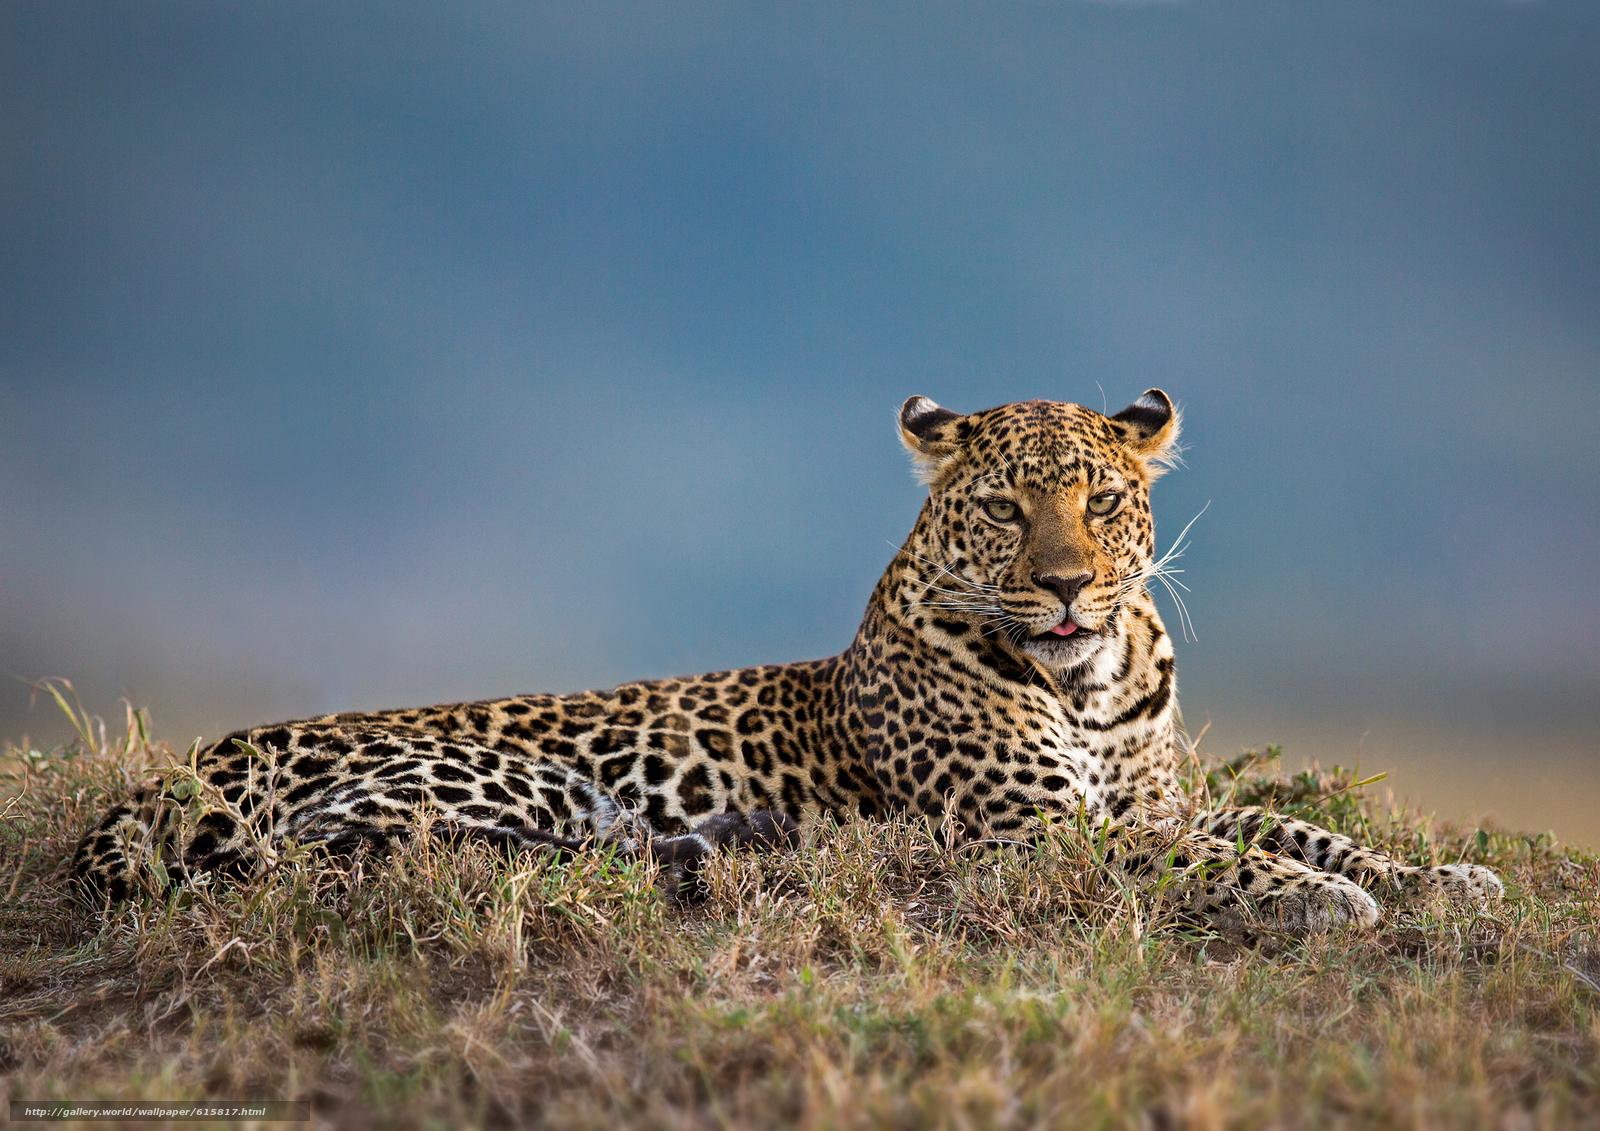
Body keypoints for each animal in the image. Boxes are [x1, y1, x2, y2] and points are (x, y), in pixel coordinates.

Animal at [73, 391, 1503, 933]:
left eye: (1100, 502)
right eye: (1006, 510)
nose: (1063, 586)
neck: (1092, 689)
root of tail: (200, 757)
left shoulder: (1157, 791)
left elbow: (1275, 821)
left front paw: (1435, 874)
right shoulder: (1027, 831)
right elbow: (1209, 858)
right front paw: (1328, 899)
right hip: (512, 785)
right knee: (379, 862)